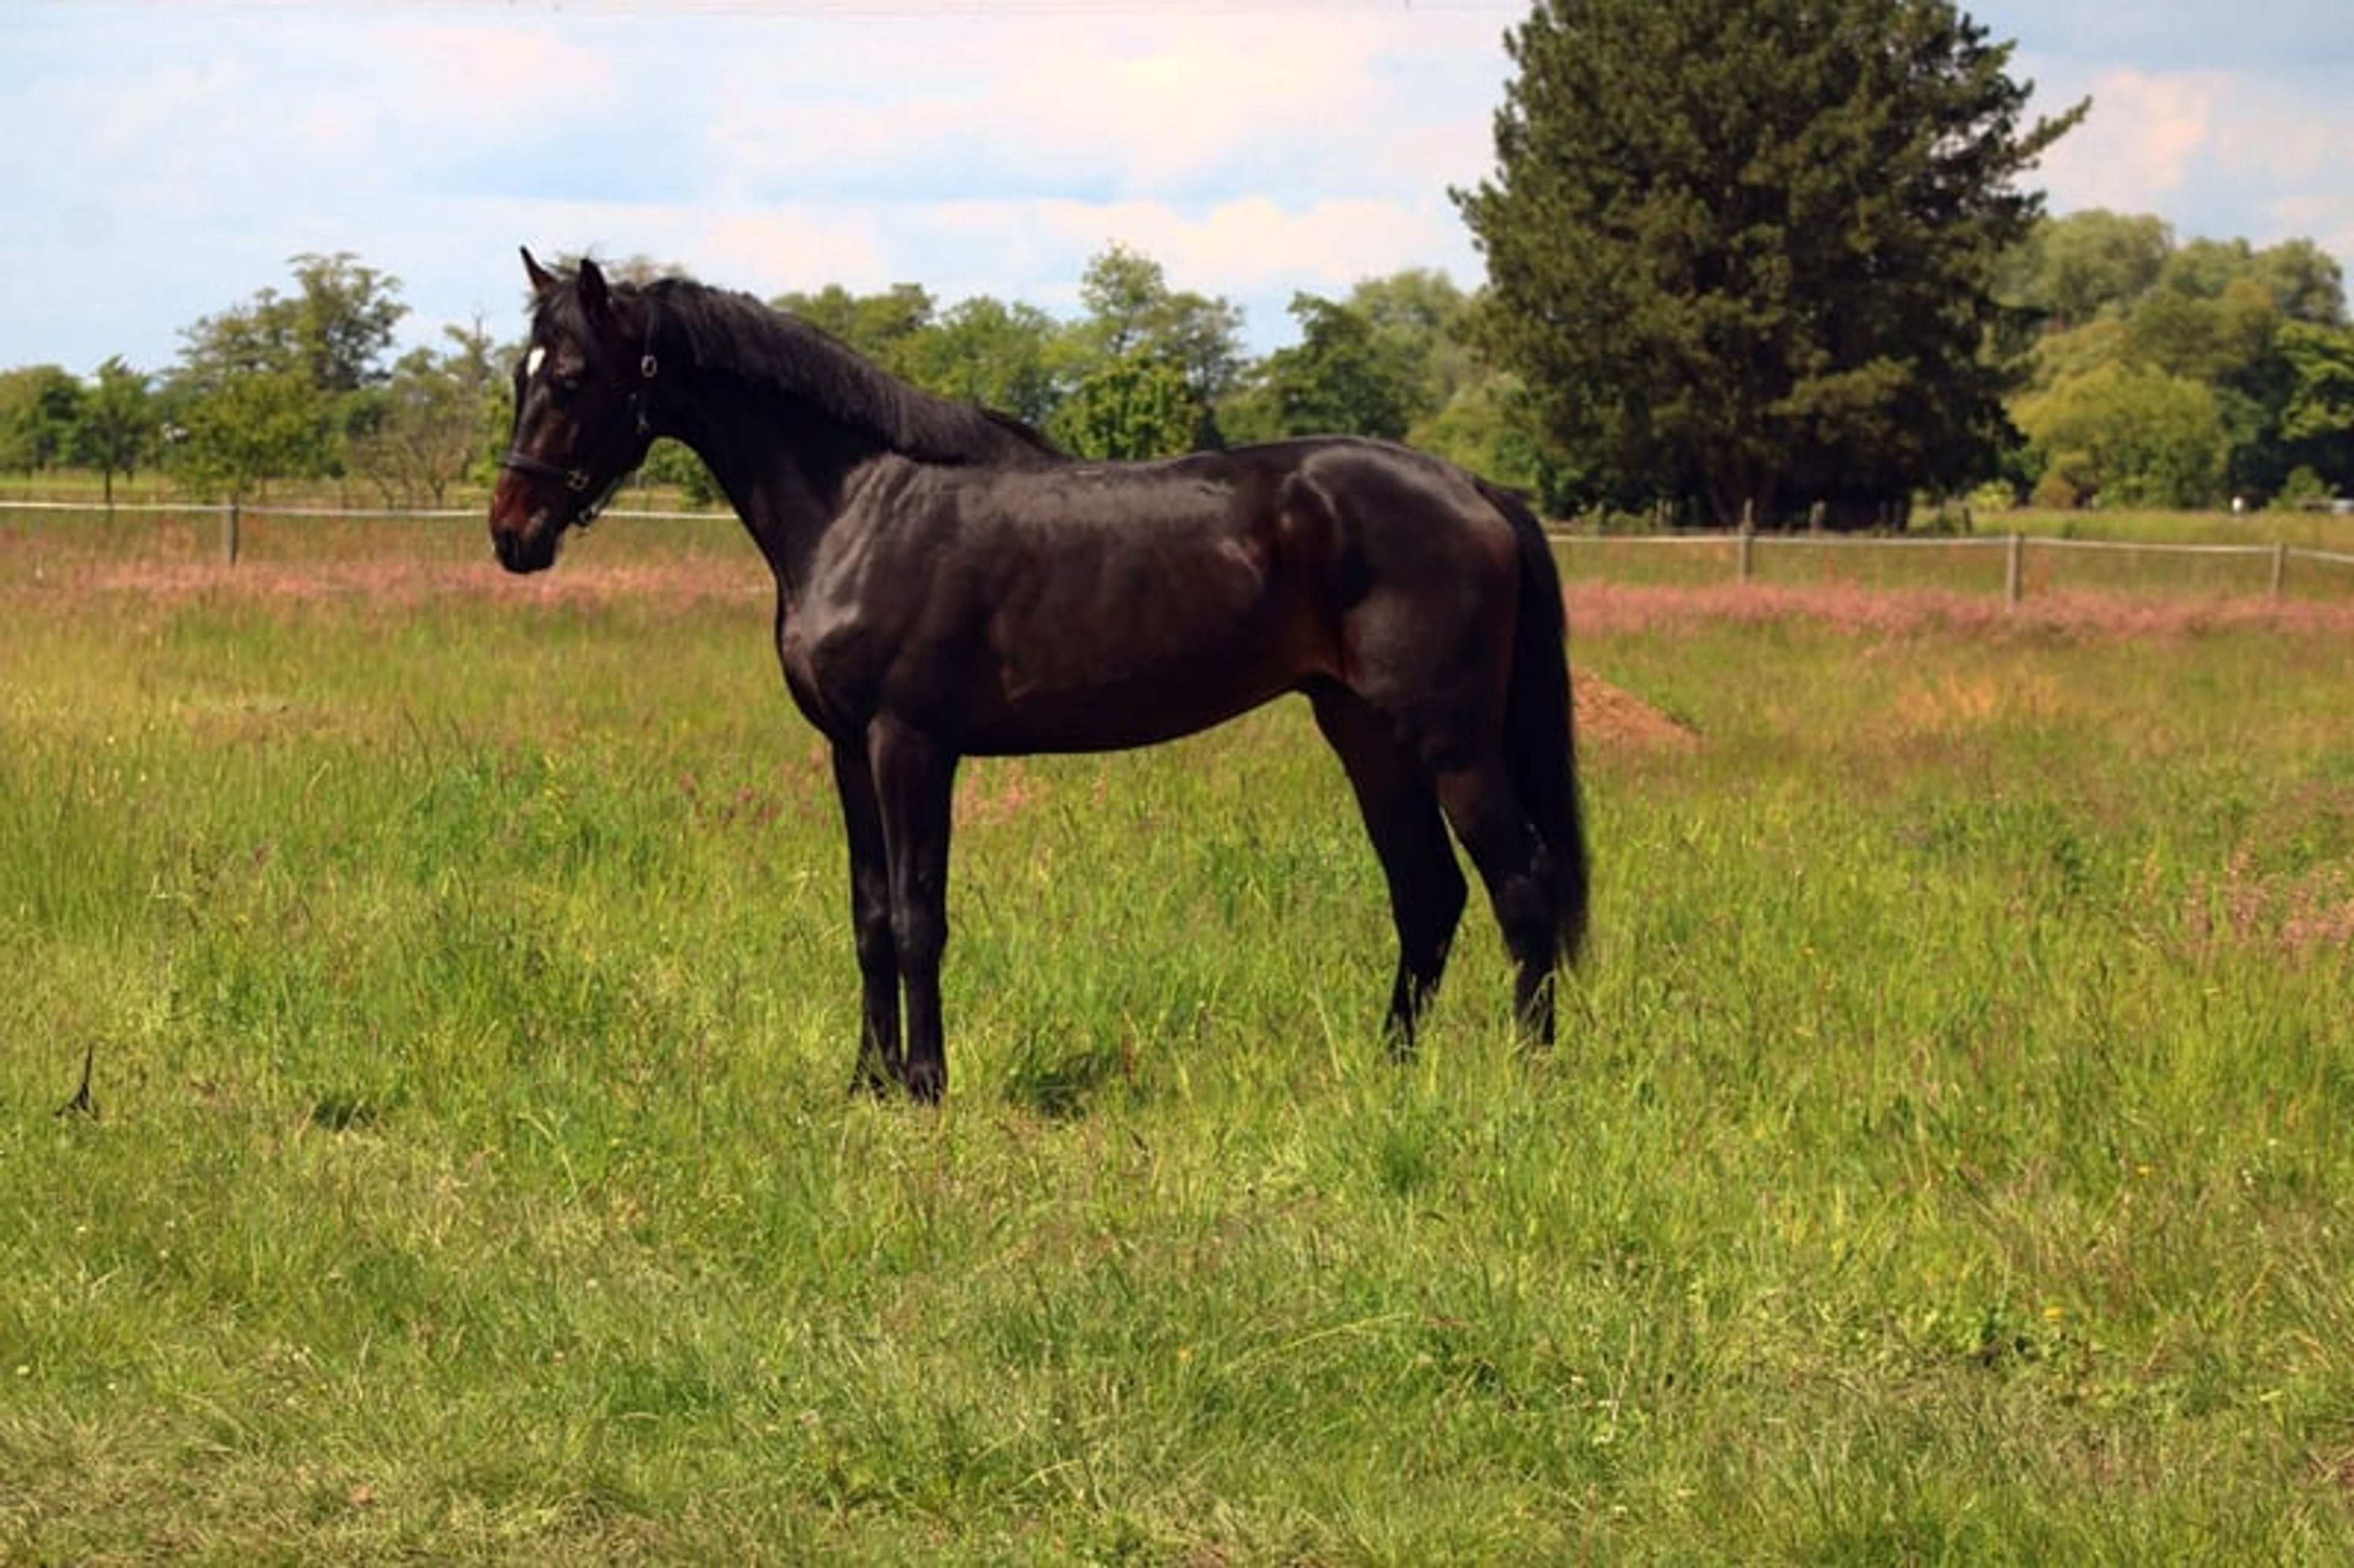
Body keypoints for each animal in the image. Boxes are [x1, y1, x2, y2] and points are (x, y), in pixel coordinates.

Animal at [489, 250, 1588, 1103]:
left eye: (575, 376)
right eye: (519, 373)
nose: (512, 533)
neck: (861, 508)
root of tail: (1476, 489)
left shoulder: (911, 746)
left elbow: (920, 918)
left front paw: (925, 1085)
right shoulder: (848, 752)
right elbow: (870, 918)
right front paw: (865, 1081)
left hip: (1451, 745)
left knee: (1520, 886)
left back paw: (1529, 1076)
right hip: (1364, 735)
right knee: (1427, 892)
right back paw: (1389, 1066)